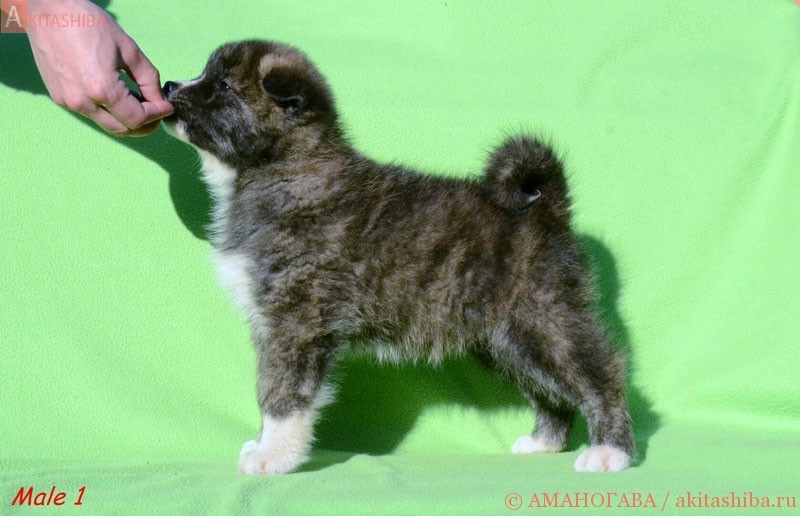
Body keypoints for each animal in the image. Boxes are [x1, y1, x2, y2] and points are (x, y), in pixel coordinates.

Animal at [161, 40, 635, 474]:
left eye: (223, 86)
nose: (167, 86)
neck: (283, 171)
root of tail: (546, 209)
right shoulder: (270, 325)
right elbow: (266, 388)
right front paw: (264, 446)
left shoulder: (297, 322)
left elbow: (284, 395)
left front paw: (274, 457)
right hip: (507, 340)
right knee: (548, 388)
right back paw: (544, 442)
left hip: (545, 319)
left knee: (601, 374)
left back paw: (610, 451)